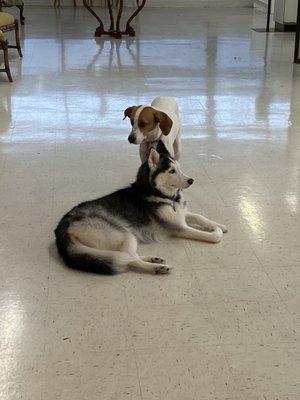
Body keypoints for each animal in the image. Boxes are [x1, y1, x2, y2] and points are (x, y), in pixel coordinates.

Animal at [54, 141, 227, 276]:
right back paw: (157, 267)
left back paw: (154, 259)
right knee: (128, 258)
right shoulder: (180, 228)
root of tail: (62, 224)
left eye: (179, 168)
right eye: (171, 171)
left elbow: (200, 217)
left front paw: (219, 225)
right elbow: (213, 237)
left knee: (130, 256)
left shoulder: (181, 213)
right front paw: (216, 231)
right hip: (124, 234)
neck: (158, 193)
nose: (191, 180)